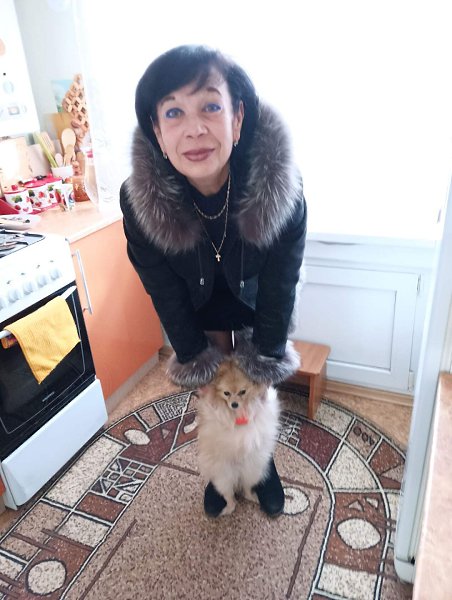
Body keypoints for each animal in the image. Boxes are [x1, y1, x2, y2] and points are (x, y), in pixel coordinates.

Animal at [196, 357, 281, 516]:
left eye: (242, 392)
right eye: (226, 393)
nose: (234, 404)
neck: (237, 414)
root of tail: (238, 474)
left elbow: (257, 405)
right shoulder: (215, 410)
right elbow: (217, 408)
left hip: (252, 472)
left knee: (247, 489)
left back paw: (251, 497)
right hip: (223, 478)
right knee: (230, 497)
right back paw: (228, 508)